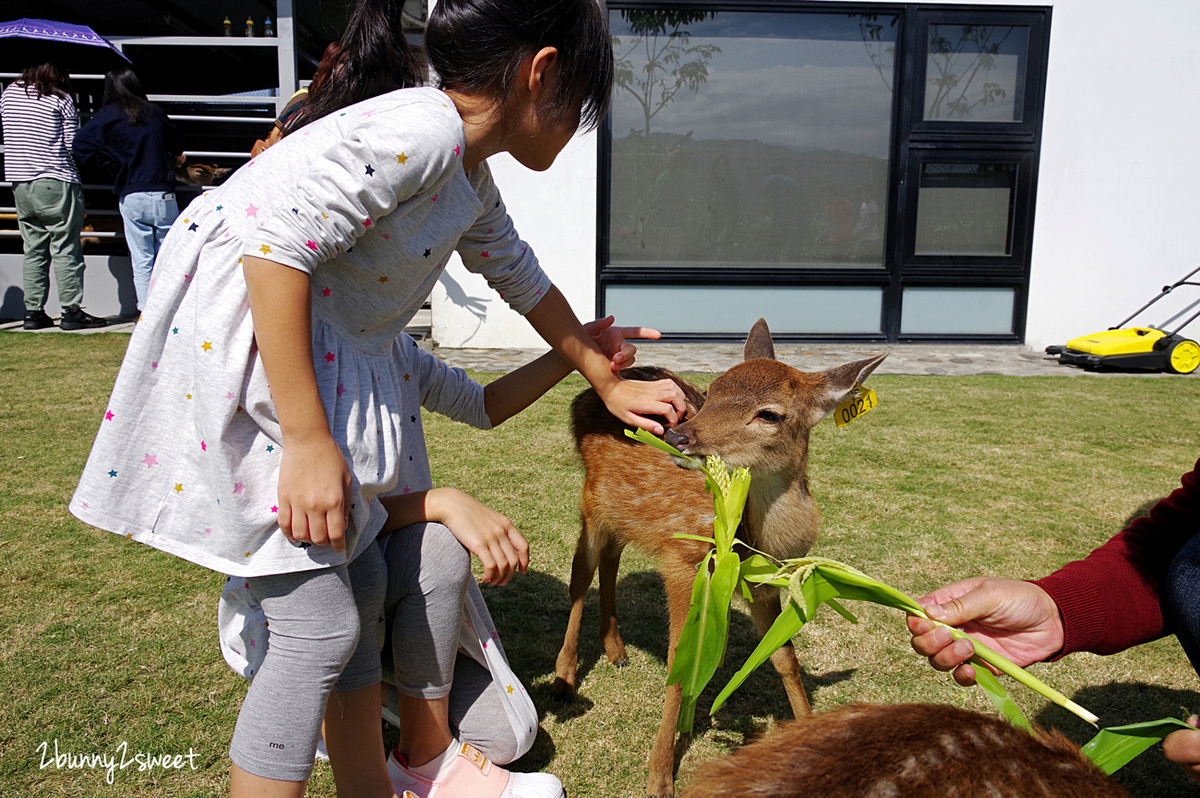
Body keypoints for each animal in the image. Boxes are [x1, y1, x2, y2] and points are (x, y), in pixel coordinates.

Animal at [552, 319, 883, 796]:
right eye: (712, 390)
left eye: (770, 414)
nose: (678, 435)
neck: (752, 540)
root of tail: (583, 395)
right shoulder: (682, 560)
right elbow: (680, 656)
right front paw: (660, 775)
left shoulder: (764, 582)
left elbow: (783, 655)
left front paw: (809, 729)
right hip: (592, 501)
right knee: (581, 574)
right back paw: (564, 678)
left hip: (625, 511)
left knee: (612, 558)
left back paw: (616, 650)